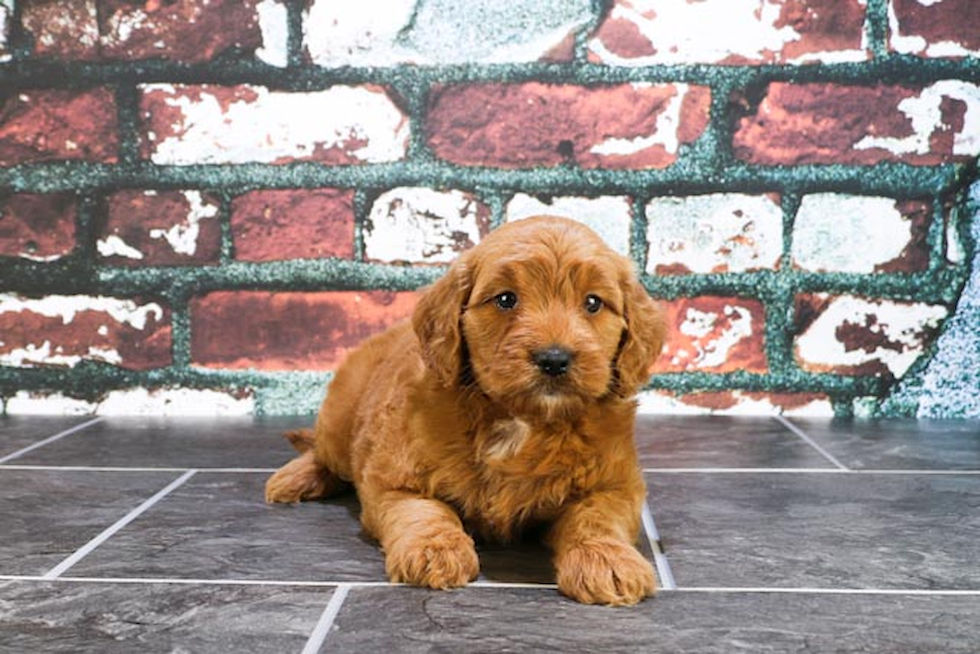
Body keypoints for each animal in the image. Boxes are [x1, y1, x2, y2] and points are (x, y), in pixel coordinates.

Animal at [268, 218, 668, 608]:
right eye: (505, 299)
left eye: (593, 302)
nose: (554, 359)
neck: (522, 420)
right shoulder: (393, 479)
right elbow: (423, 509)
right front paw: (434, 549)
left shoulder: (616, 486)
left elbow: (595, 518)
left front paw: (608, 560)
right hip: (340, 417)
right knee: (324, 453)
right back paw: (294, 478)